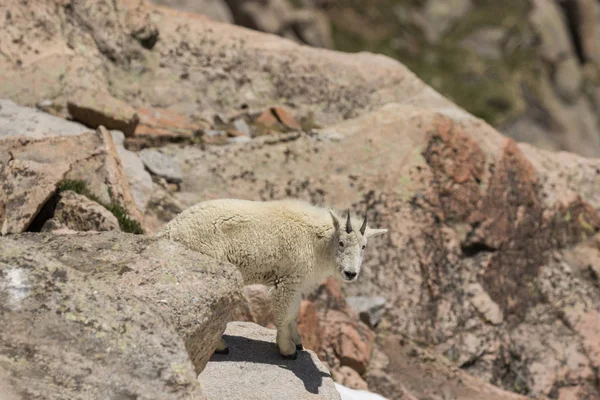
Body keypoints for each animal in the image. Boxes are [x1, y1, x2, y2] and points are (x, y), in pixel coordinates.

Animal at [157, 199, 386, 360]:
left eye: (364, 246)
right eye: (341, 242)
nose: (350, 273)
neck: (316, 243)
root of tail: (169, 230)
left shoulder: (297, 282)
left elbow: (294, 314)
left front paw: (298, 341)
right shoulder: (287, 280)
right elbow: (284, 315)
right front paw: (287, 350)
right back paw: (219, 346)